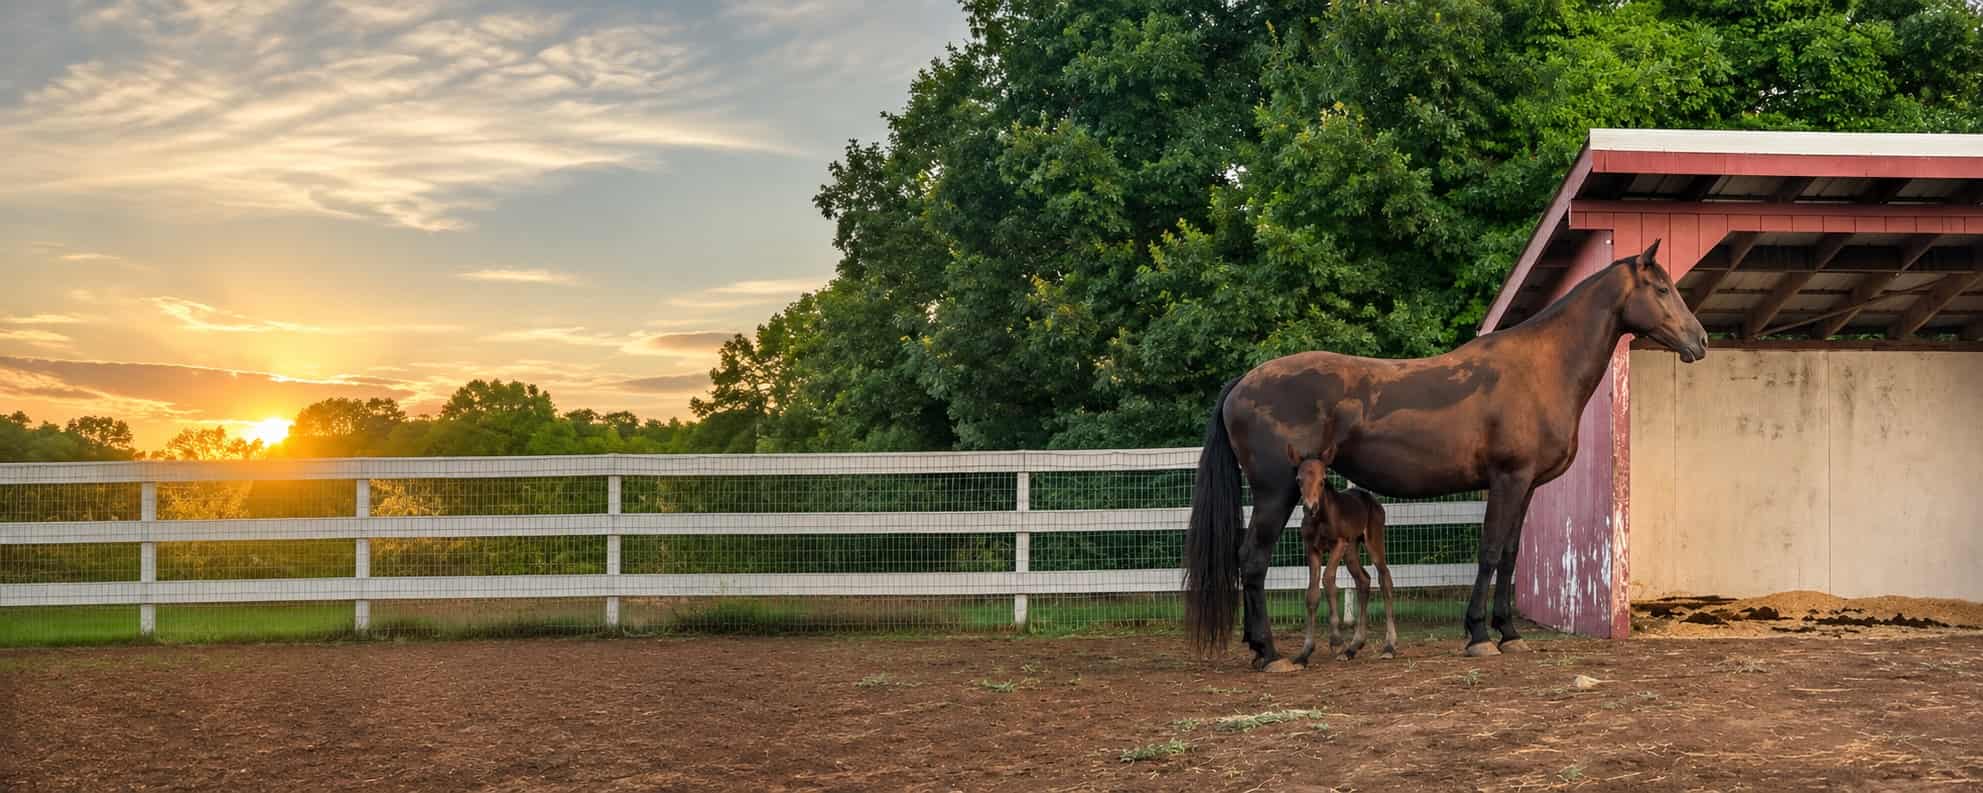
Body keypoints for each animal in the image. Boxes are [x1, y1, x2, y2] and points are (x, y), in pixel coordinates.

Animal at [1287, 445, 1396, 664]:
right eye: (1298, 480)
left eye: (1323, 479)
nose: (1310, 507)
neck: (1320, 519)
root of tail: (1372, 499)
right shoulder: (1312, 548)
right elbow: (1311, 593)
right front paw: (1305, 652)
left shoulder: (1338, 544)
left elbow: (1328, 579)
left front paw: (1336, 640)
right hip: (1352, 549)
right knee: (1363, 580)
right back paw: (1354, 647)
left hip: (1371, 541)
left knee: (1384, 578)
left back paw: (1389, 646)